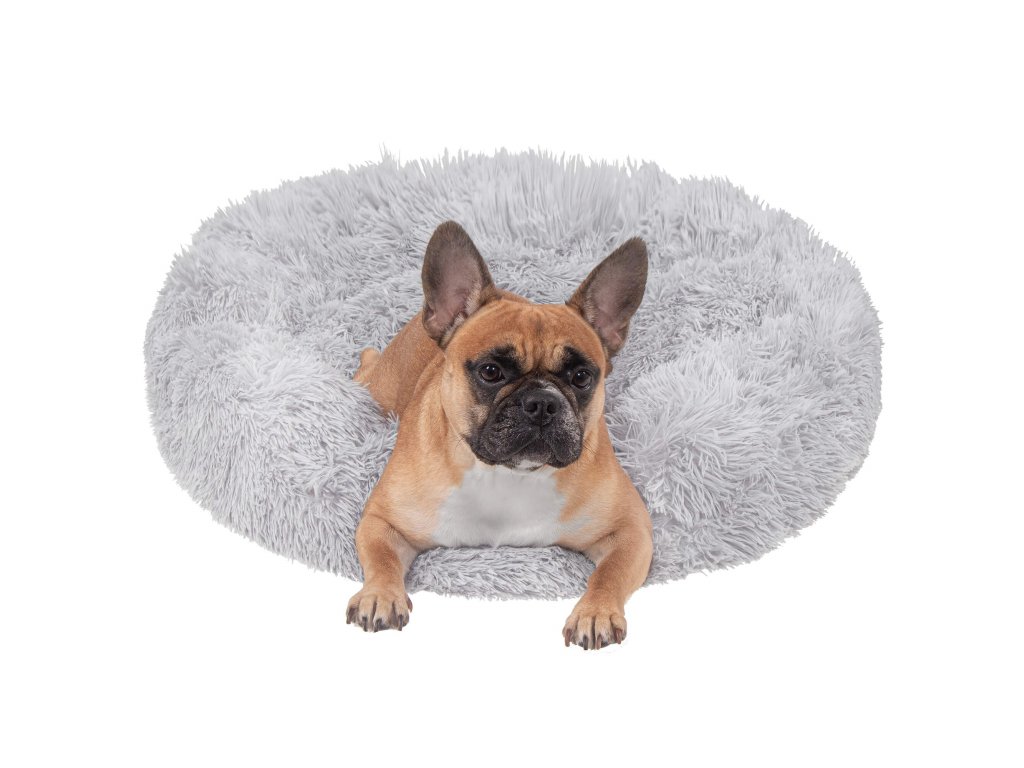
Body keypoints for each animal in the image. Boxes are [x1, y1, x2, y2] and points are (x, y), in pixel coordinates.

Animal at [348, 221, 653, 649]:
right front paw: (380, 594)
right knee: (368, 369)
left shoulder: (631, 529)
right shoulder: (382, 520)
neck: (507, 475)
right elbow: (382, 558)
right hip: (383, 390)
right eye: (491, 371)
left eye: (581, 377)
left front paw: (595, 612)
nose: (542, 402)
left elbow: (609, 573)